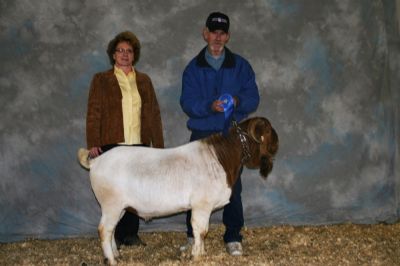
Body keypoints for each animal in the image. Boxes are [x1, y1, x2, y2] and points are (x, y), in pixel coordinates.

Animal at [78, 116, 278, 264]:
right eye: (268, 131)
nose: (277, 143)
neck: (220, 158)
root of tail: (96, 161)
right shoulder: (201, 205)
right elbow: (200, 230)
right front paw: (197, 256)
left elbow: (201, 230)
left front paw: (201, 253)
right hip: (111, 204)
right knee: (104, 230)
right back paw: (111, 260)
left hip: (119, 207)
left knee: (110, 230)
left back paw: (116, 255)